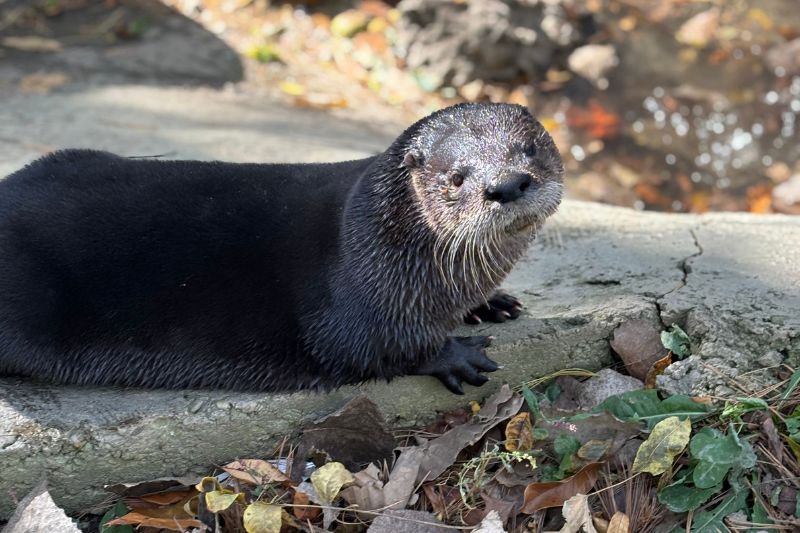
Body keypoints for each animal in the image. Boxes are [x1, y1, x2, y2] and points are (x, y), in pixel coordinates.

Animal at [0, 103, 563, 394]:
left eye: (529, 148)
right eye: (456, 177)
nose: (506, 185)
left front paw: (492, 303)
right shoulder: (351, 302)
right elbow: (376, 347)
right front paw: (457, 354)